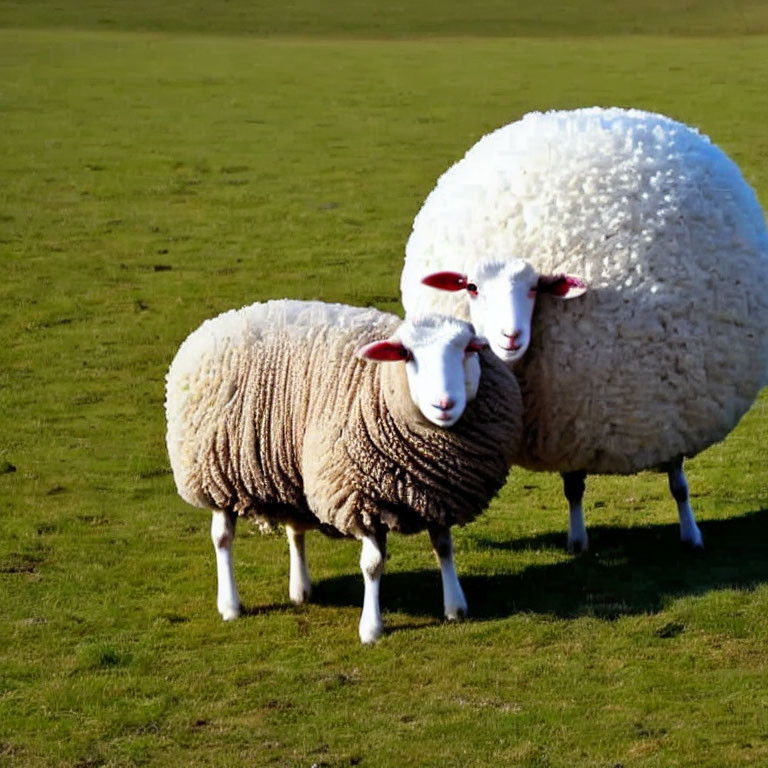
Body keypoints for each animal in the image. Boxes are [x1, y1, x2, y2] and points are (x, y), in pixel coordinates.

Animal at [164, 298, 520, 640]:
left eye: (468, 349)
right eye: (406, 355)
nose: (444, 404)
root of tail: (219, 320)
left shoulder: (438, 494)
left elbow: (444, 547)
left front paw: (455, 607)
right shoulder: (363, 497)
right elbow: (373, 566)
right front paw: (371, 628)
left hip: (290, 474)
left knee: (295, 531)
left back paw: (300, 590)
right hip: (215, 473)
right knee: (222, 538)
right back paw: (230, 605)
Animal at [400, 106, 768, 552]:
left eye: (535, 288)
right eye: (471, 287)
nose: (509, 338)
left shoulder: (664, 417)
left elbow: (678, 483)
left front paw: (691, 533)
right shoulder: (568, 431)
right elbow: (573, 487)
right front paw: (577, 541)